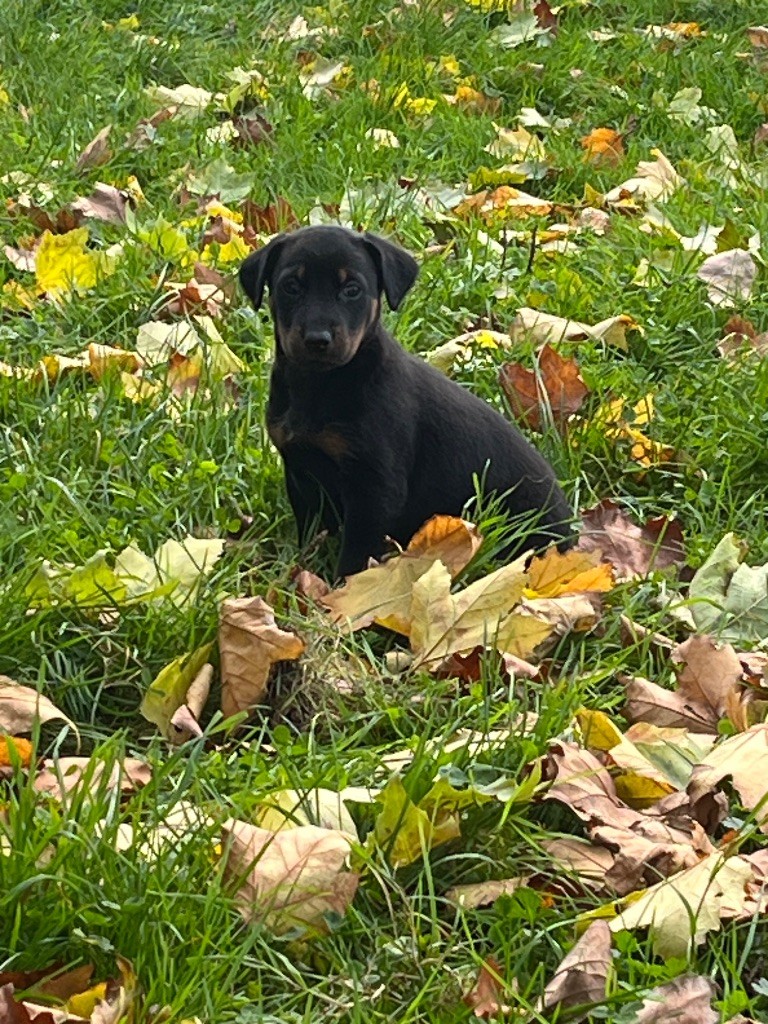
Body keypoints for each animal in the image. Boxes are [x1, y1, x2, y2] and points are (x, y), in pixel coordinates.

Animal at [240, 226, 573, 577]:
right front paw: (299, 568)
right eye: (290, 286)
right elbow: (311, 531)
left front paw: (342, 586)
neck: (321, 384)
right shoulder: (301, 471)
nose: (317, 340)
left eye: (352, 290)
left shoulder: (375, 486)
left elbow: (357, 552)